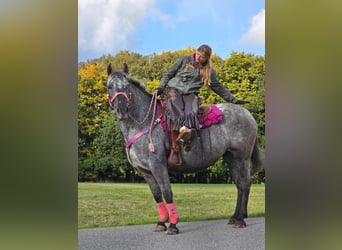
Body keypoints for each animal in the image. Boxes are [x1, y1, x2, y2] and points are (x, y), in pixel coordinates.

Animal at [106, 63, 262, 234]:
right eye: (109, 87)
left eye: (126, 87)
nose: (121, 110)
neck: (145, 123)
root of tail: (248, 115)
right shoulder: (146, 171)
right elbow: (157, 195)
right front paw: (162, 222)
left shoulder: (158, 166)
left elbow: (167, 192)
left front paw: (173, 225)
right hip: (231, 158)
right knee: (239, 185)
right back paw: (235, 217)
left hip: (242, 158)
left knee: (245, 184)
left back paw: (240, 220)